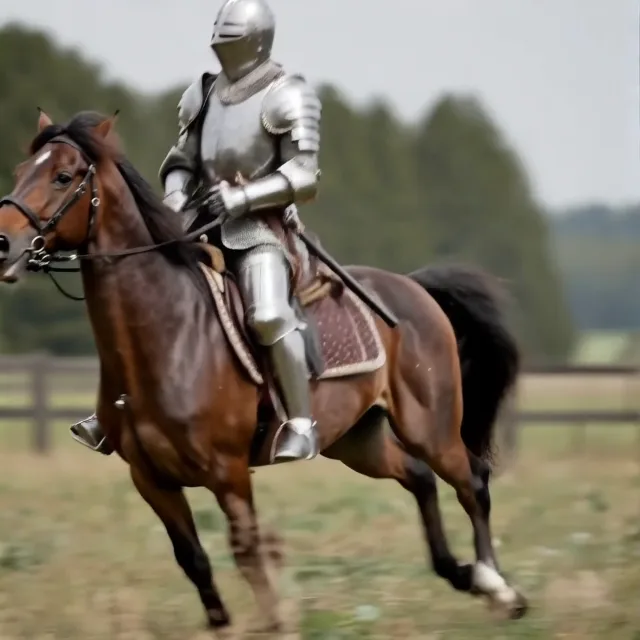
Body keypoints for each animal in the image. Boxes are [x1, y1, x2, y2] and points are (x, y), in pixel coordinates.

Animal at [0, 109, 528, 632]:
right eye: (20, 172)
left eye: (62, 176)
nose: (4, 242)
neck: (167, 335)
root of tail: (415, 288)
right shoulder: (151, 479)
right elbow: (194, 561)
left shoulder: (228, 473)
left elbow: (249, 553)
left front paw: (275, 621)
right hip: (357, 441)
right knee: (419, 477)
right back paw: (462, 574)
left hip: (429, 427)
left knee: (472, 481)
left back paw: (499, 589)